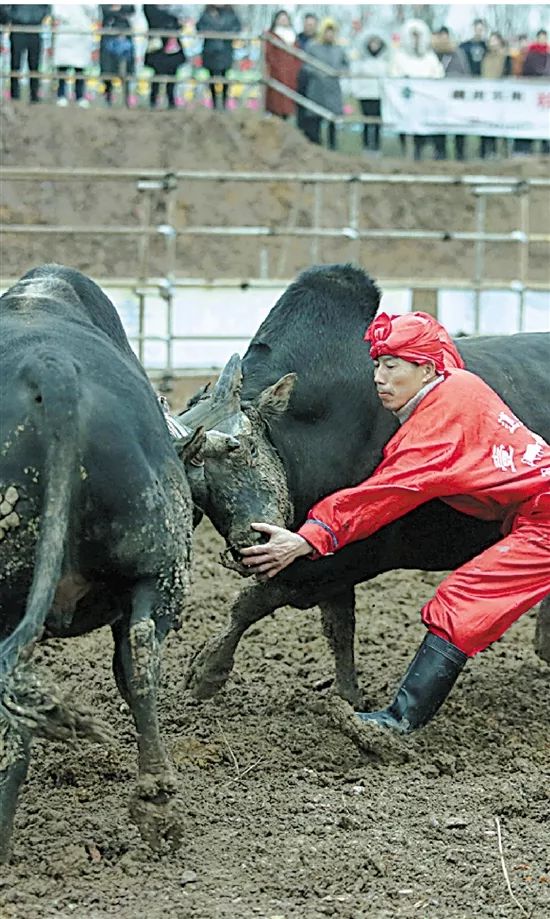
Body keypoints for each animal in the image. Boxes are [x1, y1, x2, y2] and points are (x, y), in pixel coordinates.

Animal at [179, 262, 548, 708]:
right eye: (198, 488)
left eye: (244, 447)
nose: (254, 541)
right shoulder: (329, 567)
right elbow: (339, 627)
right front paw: (348, 698)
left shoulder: (347, 557)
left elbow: (252, 602)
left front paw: (206, 671)